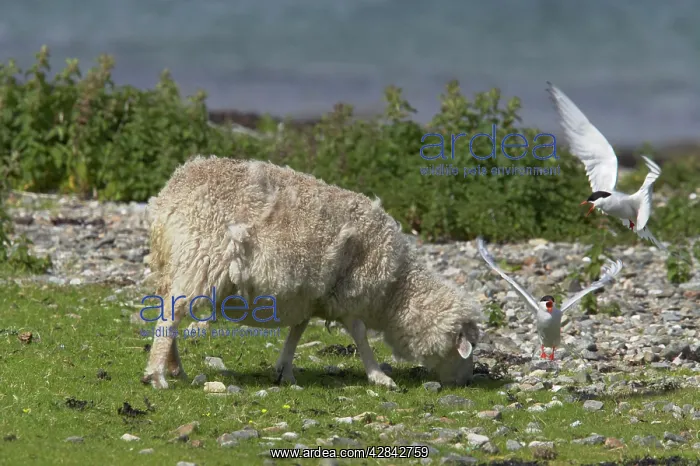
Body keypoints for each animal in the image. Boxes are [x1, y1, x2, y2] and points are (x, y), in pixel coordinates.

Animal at [141, 155, 483, 390]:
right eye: (468, 348)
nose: (466, 382)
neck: (396, 292)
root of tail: (172, 191)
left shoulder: (311, 296)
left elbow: (297, 331)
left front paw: (285, 370)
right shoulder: (348, 295)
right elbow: (360, 336)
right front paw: (379, 376)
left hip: (172, 265)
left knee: (169, 310)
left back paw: (174, 368)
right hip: (199, 260)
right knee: (171, 316)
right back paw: (157, 375)